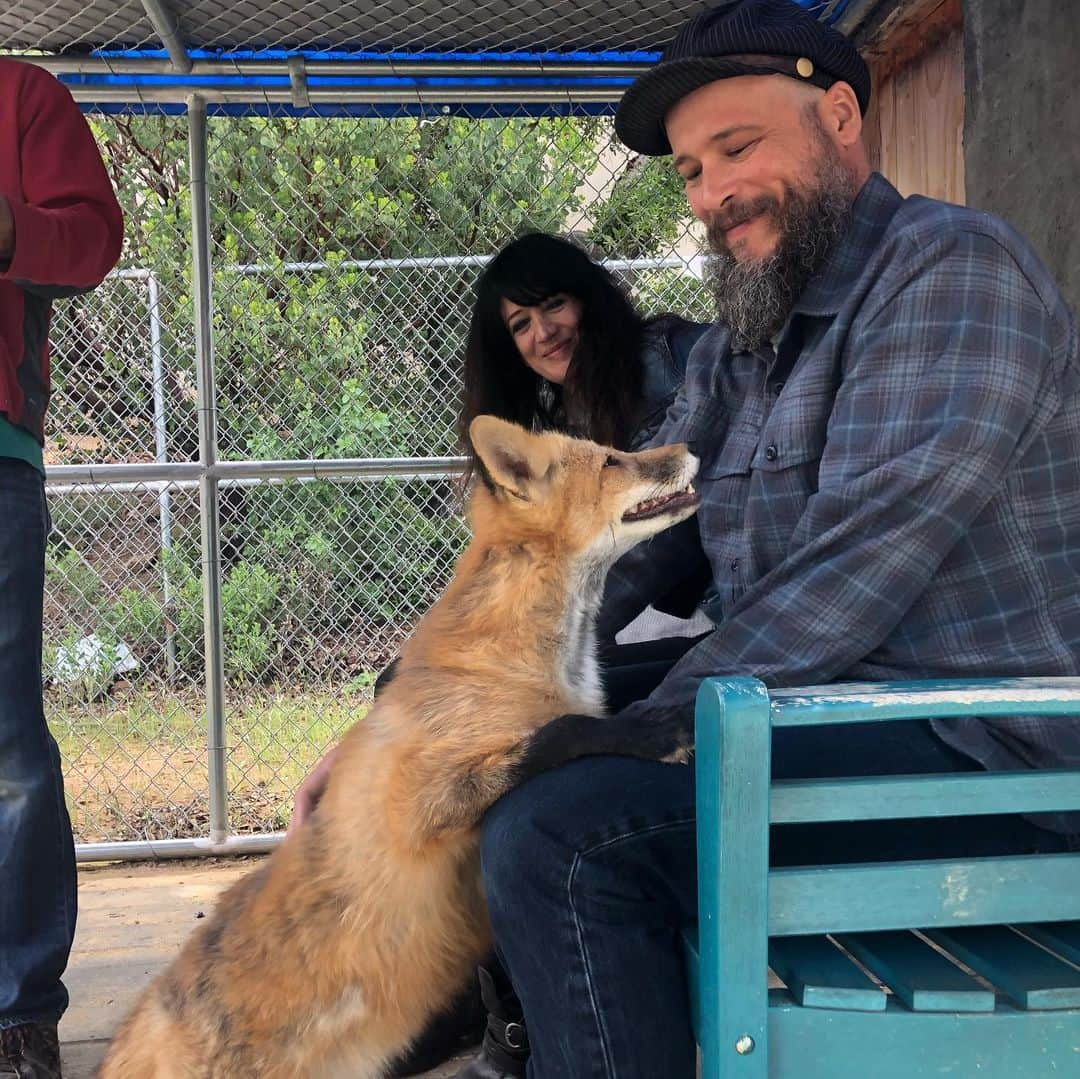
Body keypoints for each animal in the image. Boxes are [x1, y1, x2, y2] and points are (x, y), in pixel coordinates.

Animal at [101, 416, 699, 1075]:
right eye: (612, 461)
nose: (692, 447)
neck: (529, 665)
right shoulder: (417, 805)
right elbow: (560, 732)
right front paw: (651, 731)